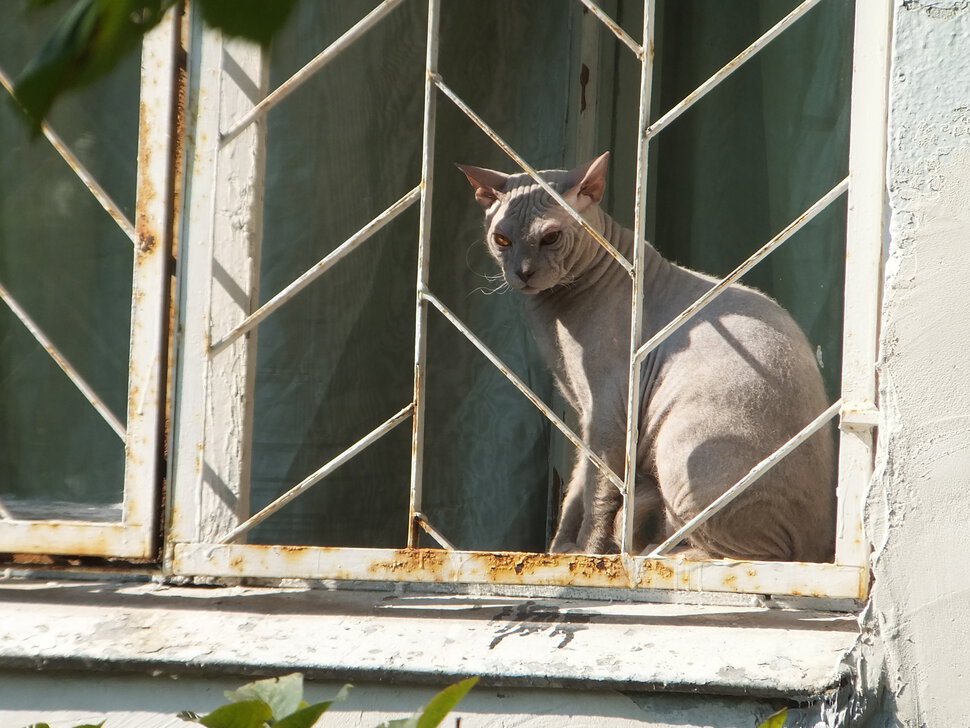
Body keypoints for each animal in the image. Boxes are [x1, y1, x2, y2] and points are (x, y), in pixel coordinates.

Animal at [458, 155, 836, 564]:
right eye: (502, 240)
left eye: (551, 238)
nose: (522, 273)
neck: (553, 317)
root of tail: (820, 549)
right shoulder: (584, 414)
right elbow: (576, 487)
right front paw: (560, 550)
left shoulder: (606, 412)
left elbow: (597, 494)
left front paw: (590, 553)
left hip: (685, 450)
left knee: (753, 555)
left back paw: (666, 553)